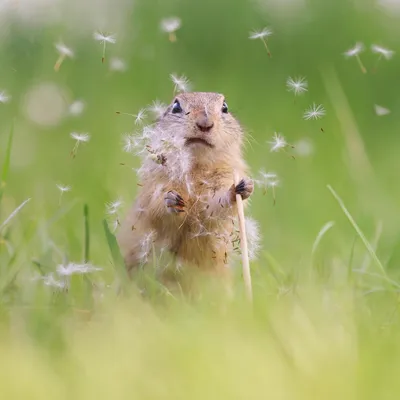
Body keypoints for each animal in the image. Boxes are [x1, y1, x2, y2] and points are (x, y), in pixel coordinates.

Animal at [116, 90, 253, 278]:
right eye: (176, 106)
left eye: (225, 108)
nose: (205, 123)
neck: (195, 166)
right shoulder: (155, 182)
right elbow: (155, 205)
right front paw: (171, 200)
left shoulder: (224, 176)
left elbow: (213, 207)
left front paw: (242, 188)